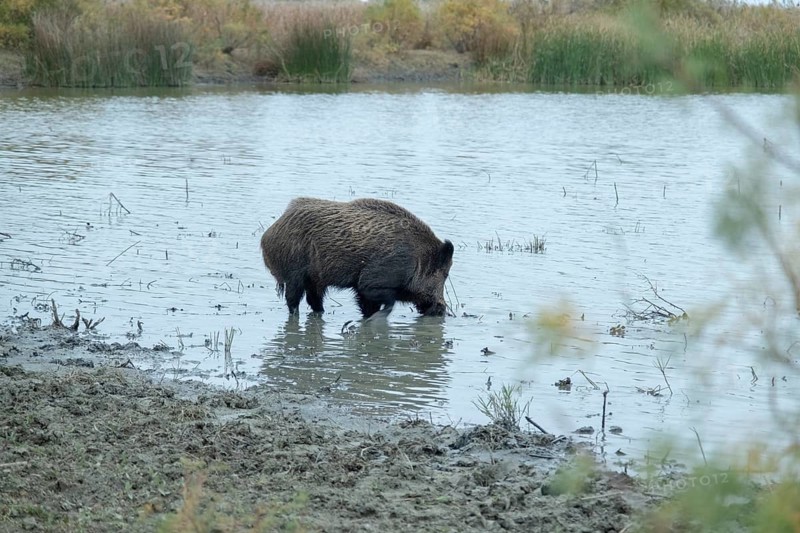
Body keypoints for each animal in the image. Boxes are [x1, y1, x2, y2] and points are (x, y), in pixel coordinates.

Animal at [260, 197, 454, 317]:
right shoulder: (372, 281)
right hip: (294, 275)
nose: (441, 309)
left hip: (315, 279)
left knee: (314, 300)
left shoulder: (363, 289)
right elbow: (385, 302)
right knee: (293, 301)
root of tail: (268, 234)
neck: (417, 260)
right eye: (444, 274)